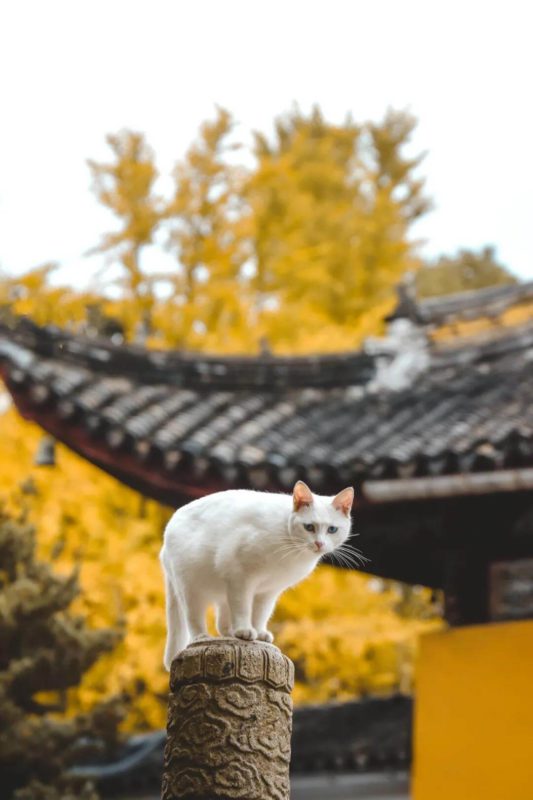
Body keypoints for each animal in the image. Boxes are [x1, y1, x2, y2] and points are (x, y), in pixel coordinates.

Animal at [160, 482, 356, 668]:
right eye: (309, 527)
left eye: (332, 529)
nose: (319, 544)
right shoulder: (240, 577)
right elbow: (243, 608)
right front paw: (244, 630)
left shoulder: (268, 591)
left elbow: (261, 614)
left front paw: (259, 632)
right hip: (190, 590)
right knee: (194, 618)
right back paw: (203, 636)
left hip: (222, 593)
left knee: (222, 623)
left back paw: (231, 632)